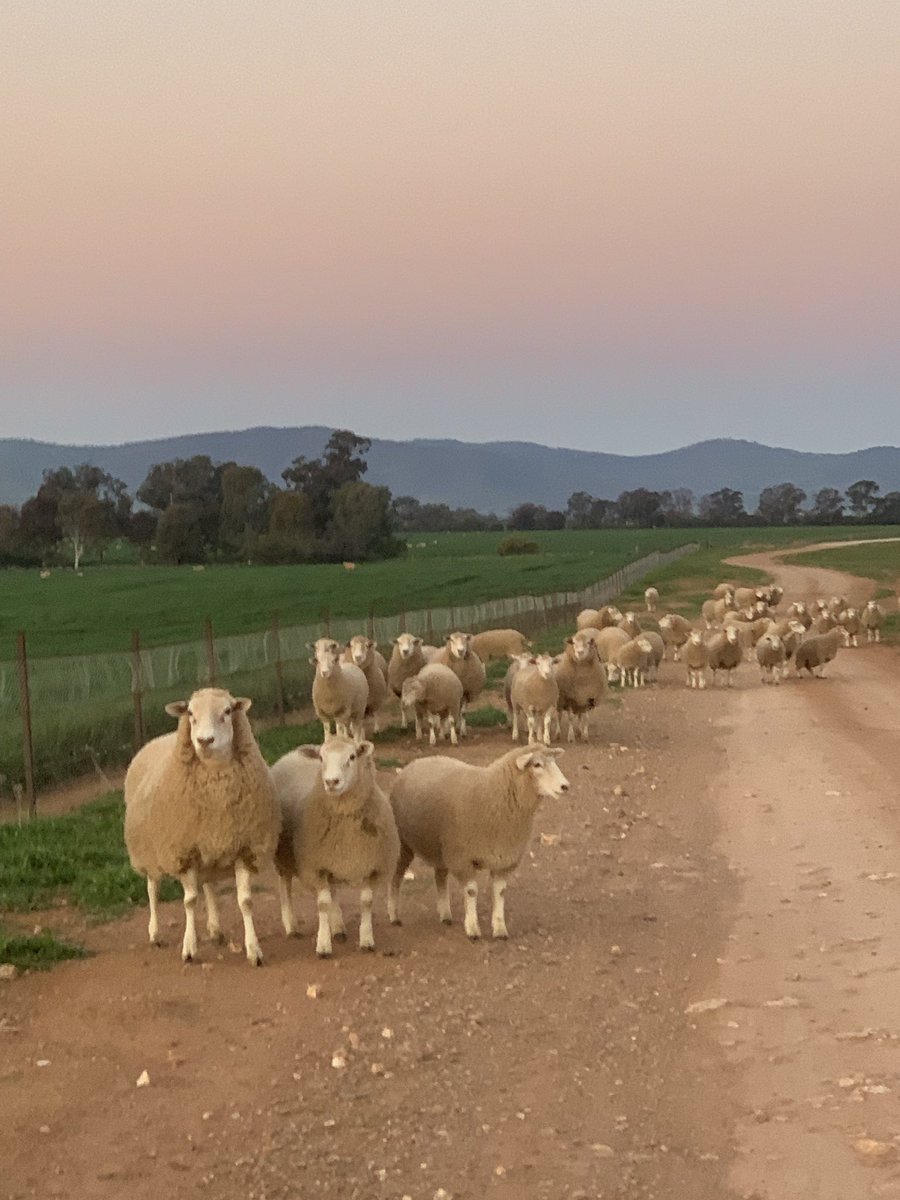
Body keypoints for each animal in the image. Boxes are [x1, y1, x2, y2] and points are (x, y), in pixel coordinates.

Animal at [123, 688, 279, 965]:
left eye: (227, 711)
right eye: (190, 713)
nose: (205, 741)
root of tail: (157, 740)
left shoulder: (244, 848)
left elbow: (245, 901)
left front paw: (254, 950)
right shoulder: (184, 852)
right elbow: (190, 901)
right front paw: (189, 948)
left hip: (209, 850)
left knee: (209, 886)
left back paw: (215, 930)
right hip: (150, 849)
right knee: (153, 888)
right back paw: (155, 933)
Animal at [273, 736, 400, 957]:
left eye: (352, 756)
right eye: (321, 758)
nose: (332, 782)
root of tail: (289, 754)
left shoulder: (370, 865)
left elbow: (366, 902)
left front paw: (366, 940)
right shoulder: (317, 867)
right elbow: (323, 904)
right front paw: (323, 945)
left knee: (334, 892)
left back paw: (338, 928)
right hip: (283, 856)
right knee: (285, 886)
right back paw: (291, 926)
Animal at [388, 745, 570, 940]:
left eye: (554, 761)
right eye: (537, 765)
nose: (565, 786)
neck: (495, 796)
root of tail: (415, 762)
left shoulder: (504, 859)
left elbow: (500, 892)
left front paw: (500, 929)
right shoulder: (463, 859)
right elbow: (471, 892)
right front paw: (473, 929)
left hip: (442, 849)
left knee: (440, 877)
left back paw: (445, 915)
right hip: (404, 843)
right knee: (396, 876)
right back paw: (394, 915)